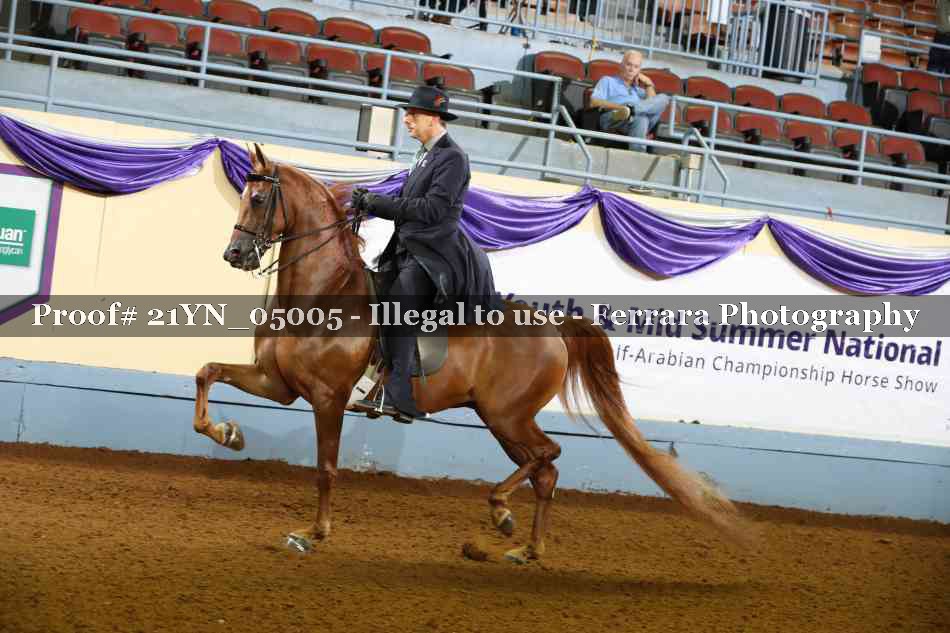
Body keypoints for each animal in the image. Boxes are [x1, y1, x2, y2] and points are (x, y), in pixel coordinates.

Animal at [191, 144, 750, 563]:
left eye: (258, 198)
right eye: (243, 195)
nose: (234, 255)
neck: (323, 293)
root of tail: (551, 328)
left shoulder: (328, 398)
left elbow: (326, 469)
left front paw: (312, 535)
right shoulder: (278, 384)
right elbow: (207, 372)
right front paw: (228, 433)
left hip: (507, 415)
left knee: (549, 455)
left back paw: (501, 512)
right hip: (502, 420)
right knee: (546, 471)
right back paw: (525, 549)